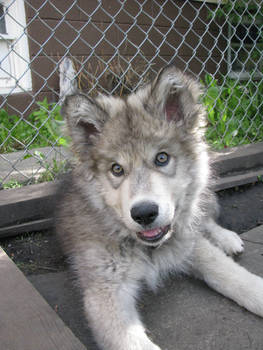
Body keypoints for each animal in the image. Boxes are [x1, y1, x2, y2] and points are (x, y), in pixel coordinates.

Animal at [56, 66, 263, 350]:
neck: (149, 249)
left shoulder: (189, 244)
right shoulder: (106, 290)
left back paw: (226, 238)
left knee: (205, 219)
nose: (144, 213)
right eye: (116, 169)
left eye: (162, 158)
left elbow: (232, 275)